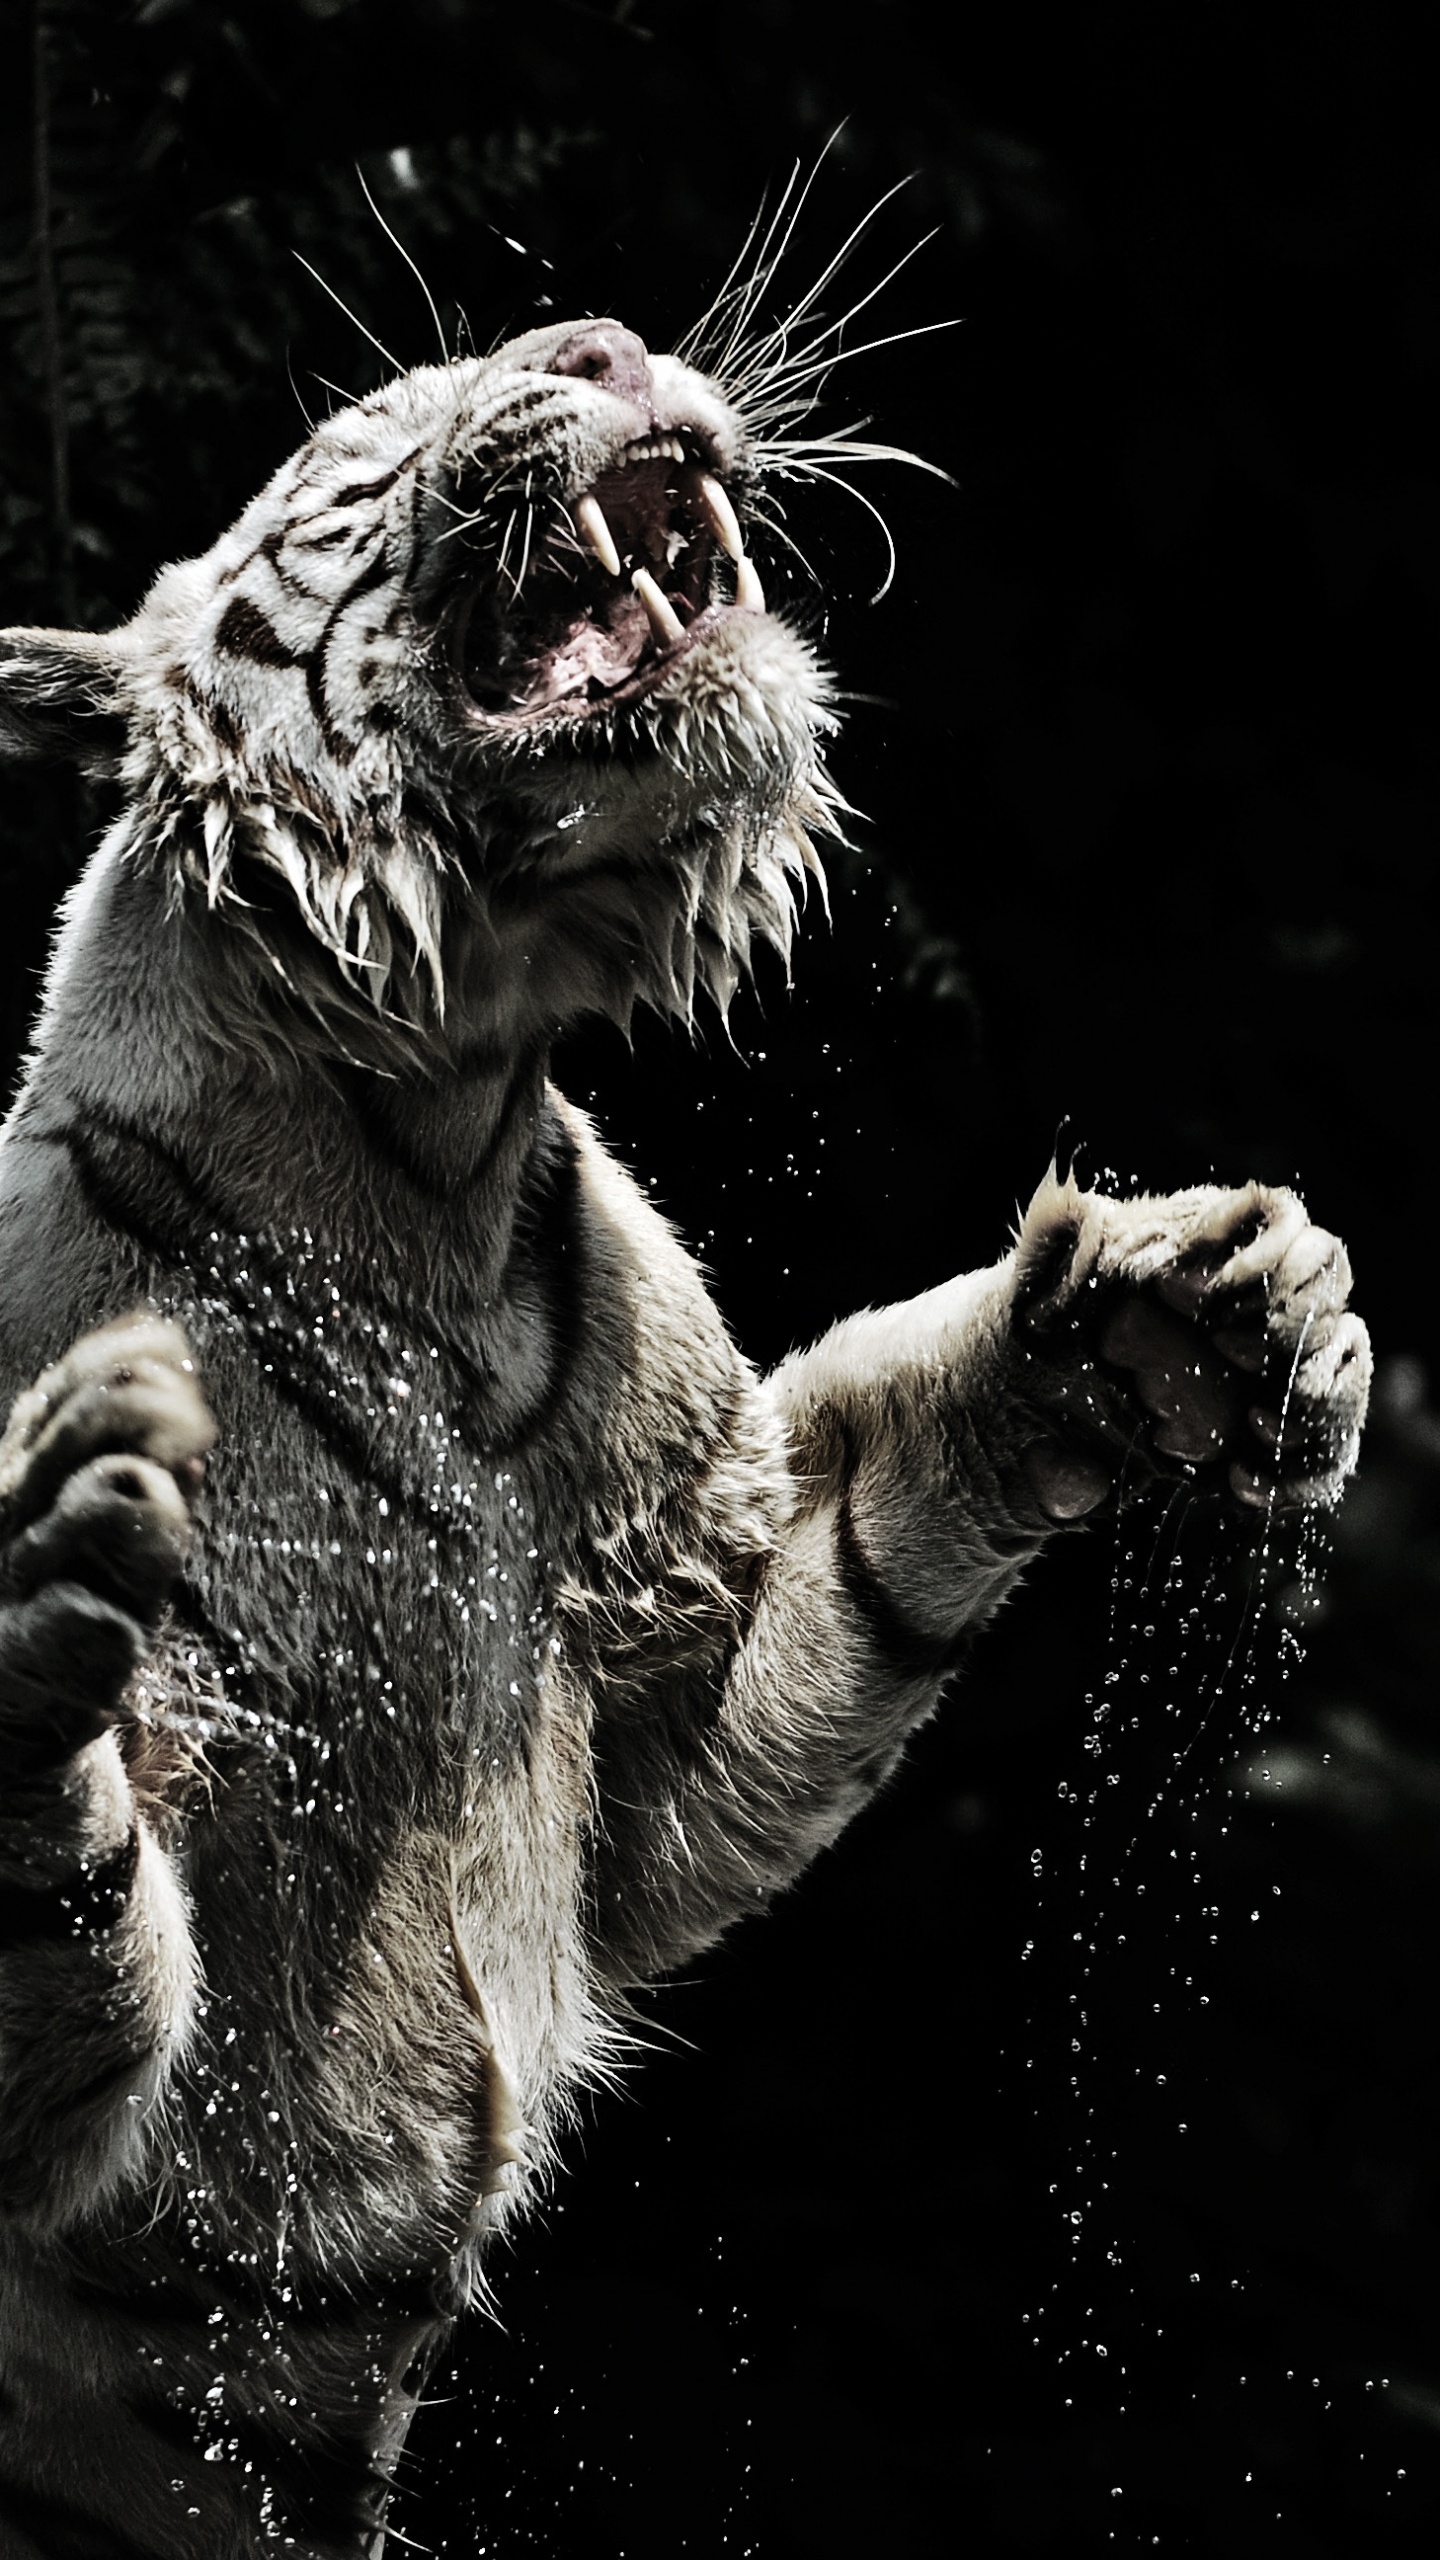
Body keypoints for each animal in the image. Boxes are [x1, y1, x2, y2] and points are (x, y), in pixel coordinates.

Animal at [0, 306, 1370, 2558]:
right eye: (367, 428)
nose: (607, 339)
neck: (433, 1148)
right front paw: (40, 1595)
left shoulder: (676, 1636)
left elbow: (878, 1532)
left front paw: (1201, 1306)